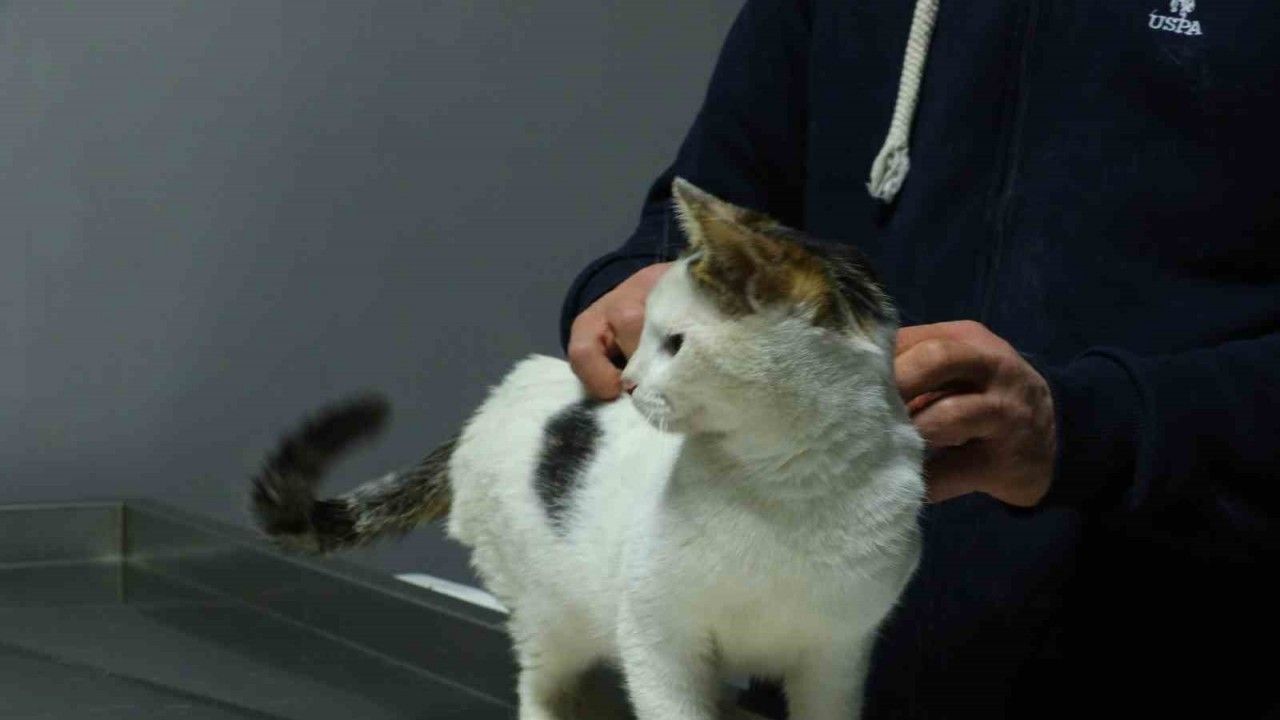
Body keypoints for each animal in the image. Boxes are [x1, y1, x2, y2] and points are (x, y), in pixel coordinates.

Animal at [250, 177, 925, 720]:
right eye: (643, 337)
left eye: (675, 344)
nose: (627, 383)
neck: (787, 482)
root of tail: (495, 399)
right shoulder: (657, 636)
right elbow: (674, 708)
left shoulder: (836, 656)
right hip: (551, 610)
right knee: (542, 677)